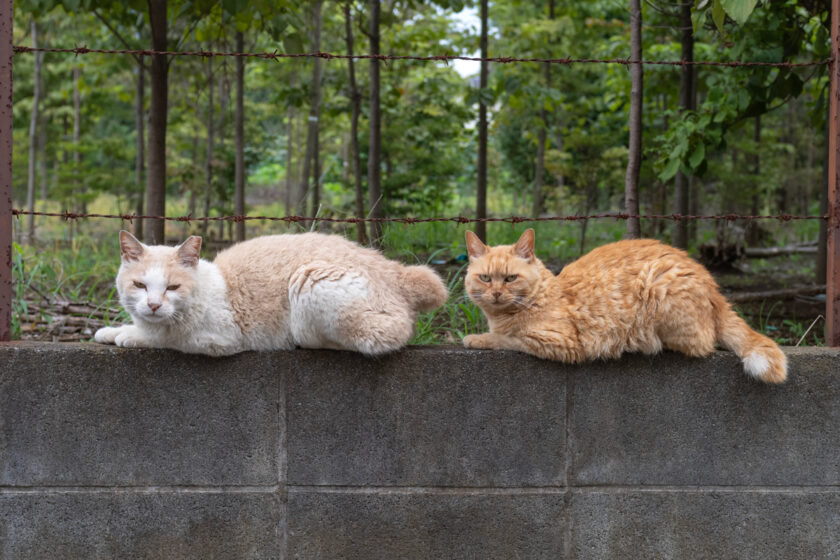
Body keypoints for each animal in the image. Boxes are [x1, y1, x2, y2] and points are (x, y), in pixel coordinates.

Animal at [95, 231, 450, 354]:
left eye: (172, 287)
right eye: (140, 285)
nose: (154, 305)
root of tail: (395, 271)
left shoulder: (219, 339)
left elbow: (165, 338)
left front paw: (128, 335)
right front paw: (112, 330)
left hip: (309, 281)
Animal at [466, 229, 788, 384]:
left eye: (510, 278)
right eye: (485, 278)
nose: (496, 294)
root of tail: (714, 288)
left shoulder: (561, 343)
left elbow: (508, 338)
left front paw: (476, 338)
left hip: (661, 288)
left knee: (703, 343)